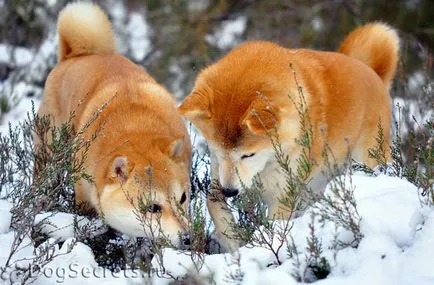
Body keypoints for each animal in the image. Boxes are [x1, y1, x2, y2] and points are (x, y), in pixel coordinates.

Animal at [37, 2, 192, 245]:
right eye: (153, 207)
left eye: (183, 197)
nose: (187, 239)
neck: (135, 127)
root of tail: (77, 55)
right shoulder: (83, 187)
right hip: (48, 148)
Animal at [180, 22, 400, 248]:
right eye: (217, 150)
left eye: (248, 155)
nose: (230, 192)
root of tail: (372, 73)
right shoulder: (219, 174)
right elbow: (212, 202)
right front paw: (232, 239)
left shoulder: (283, 193)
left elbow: (275, 227)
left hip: (367, 160)